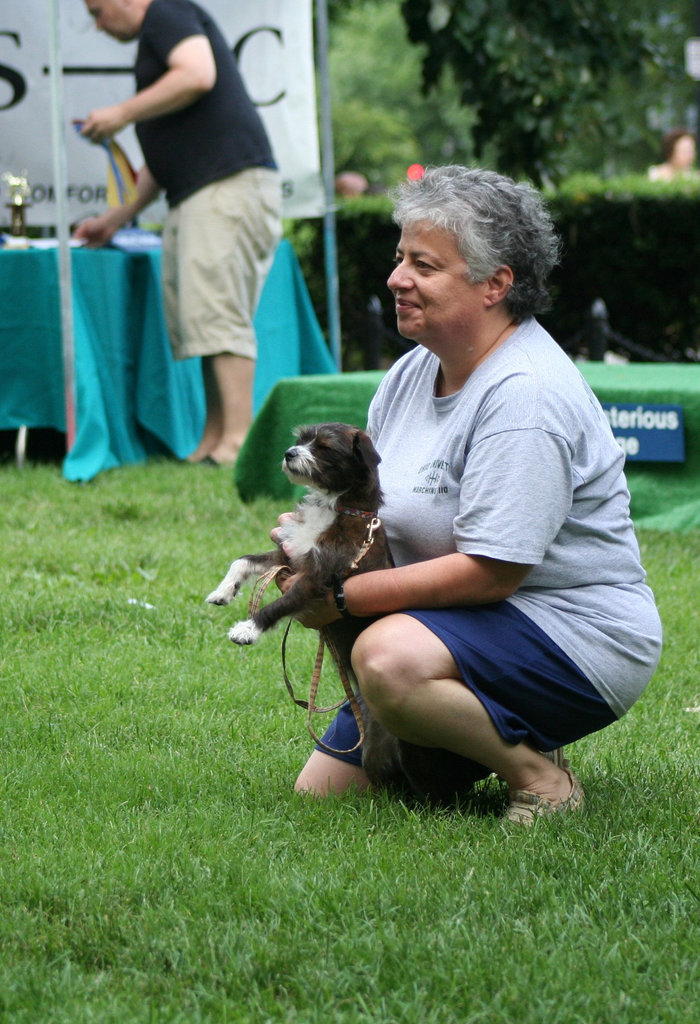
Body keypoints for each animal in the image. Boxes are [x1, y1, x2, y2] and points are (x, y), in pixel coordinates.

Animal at [207, 421, 489, 798]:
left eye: (324, 447)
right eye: (301, 439)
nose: (289, 453)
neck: (336, 507)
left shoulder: (315, 578)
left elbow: (276, 606)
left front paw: (247, 629)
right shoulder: (289, 556)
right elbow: (242, 561)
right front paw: (223, 591)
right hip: (374, 749)